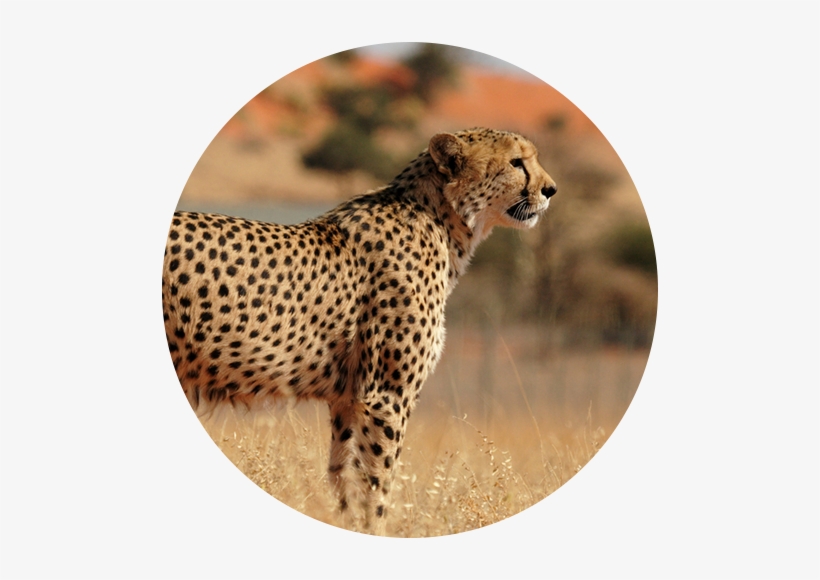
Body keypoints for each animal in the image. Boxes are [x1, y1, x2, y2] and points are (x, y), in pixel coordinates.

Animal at [162, 127, 557, 535]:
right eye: (516, 162)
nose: (551, 190)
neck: (442, 221)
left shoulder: (349, 399)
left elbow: (345, 477)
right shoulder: (385, 396)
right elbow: (375, 486)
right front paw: (376, 530)